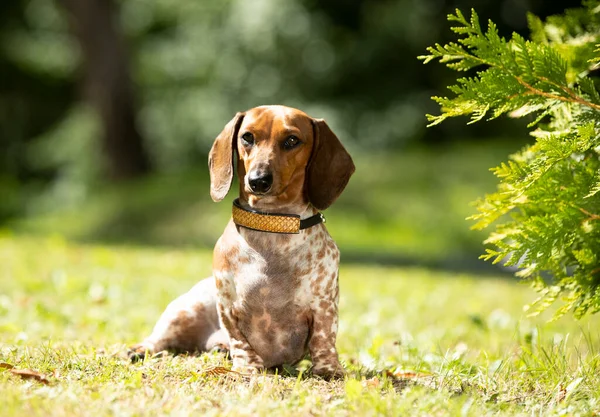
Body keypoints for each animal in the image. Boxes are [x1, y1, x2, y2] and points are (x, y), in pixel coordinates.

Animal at [129, 104, 354, 376]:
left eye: (292, 140)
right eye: (247, 137)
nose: (258, 181)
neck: (272, 225)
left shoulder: (323, 305)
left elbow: (324, 336)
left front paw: (329, 369)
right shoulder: (228, 306)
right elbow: (239, 340)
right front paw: (247, 367)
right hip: (184, 312)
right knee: (159, 339)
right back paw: (141, 349)